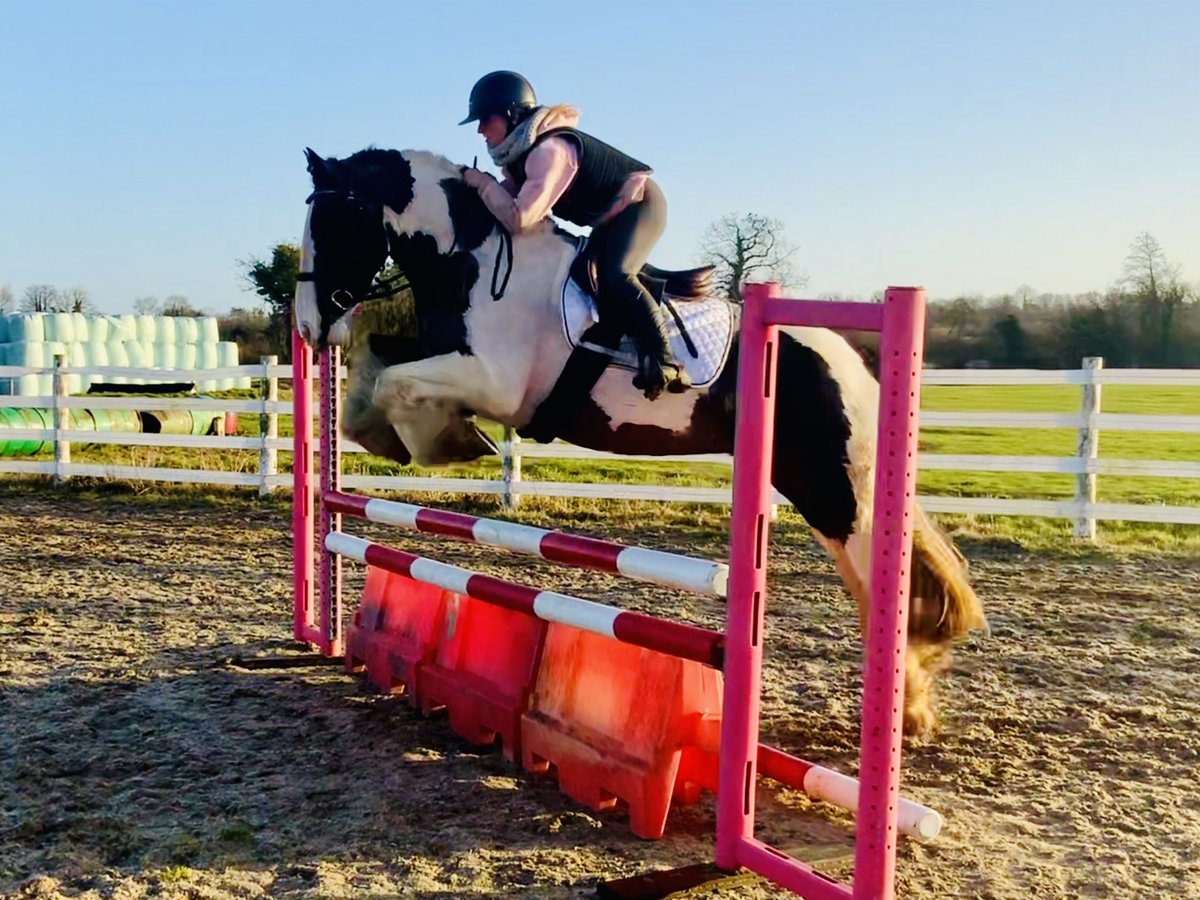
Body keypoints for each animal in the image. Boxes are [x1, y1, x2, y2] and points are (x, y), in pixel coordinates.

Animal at [292, 150, 984, 739]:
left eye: (330, 223)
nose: (308, 326)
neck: (473, 262)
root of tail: (855, 365)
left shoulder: (495, 381)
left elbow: (396, 383)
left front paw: (447, 441)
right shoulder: (442, 355)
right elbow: (374, 370)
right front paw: (385, 432)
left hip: (835, 491)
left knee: (886, 585)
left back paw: (907, 711)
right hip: (811, 488)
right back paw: (908, 711)